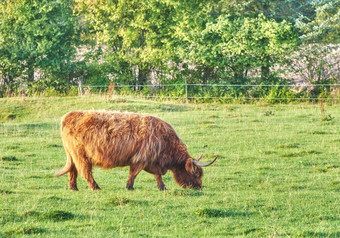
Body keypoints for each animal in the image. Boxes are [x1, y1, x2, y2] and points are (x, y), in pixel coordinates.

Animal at [54, 110, 216, 191]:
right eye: (196, 173)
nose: (199, 187)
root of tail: (68, 115)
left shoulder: (152, 161)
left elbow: (157, 175)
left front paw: (162, 187)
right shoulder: (141, 158)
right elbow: (134, 173)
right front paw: (129, 187)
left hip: (73, 155)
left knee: (73, 171)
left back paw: (73, 188)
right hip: (80, 155)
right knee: (85, 171)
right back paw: (95, 187)